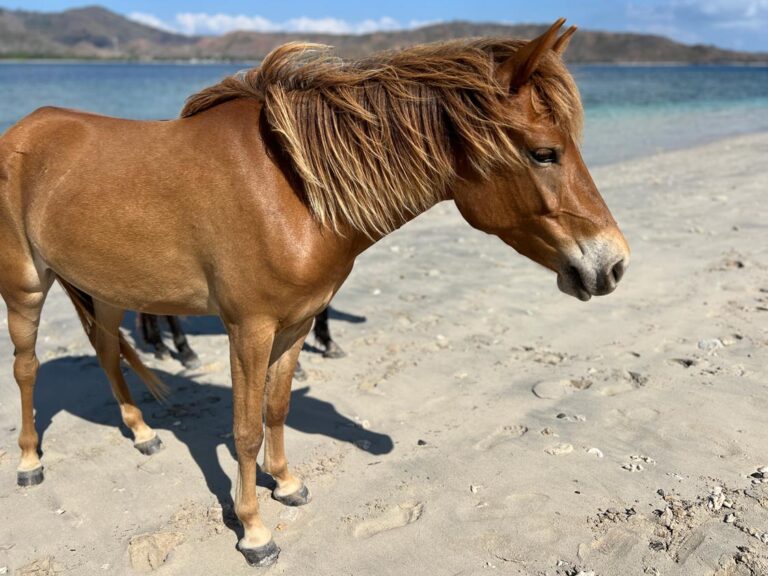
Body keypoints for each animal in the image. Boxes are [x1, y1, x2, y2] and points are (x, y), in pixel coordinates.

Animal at [0, 20, 632, 564]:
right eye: (544, 152)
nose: (614, 264)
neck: (291, 191)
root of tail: (23, 129)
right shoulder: (249, 329)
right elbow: (245, 429)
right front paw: (254, 530)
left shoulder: (297, 322)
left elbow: (277, 407)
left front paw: (287, 483)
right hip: (27, 287)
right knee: (27, 368)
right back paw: (30, 461)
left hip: (106, 289)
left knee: (109, 353)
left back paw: (142, 433)